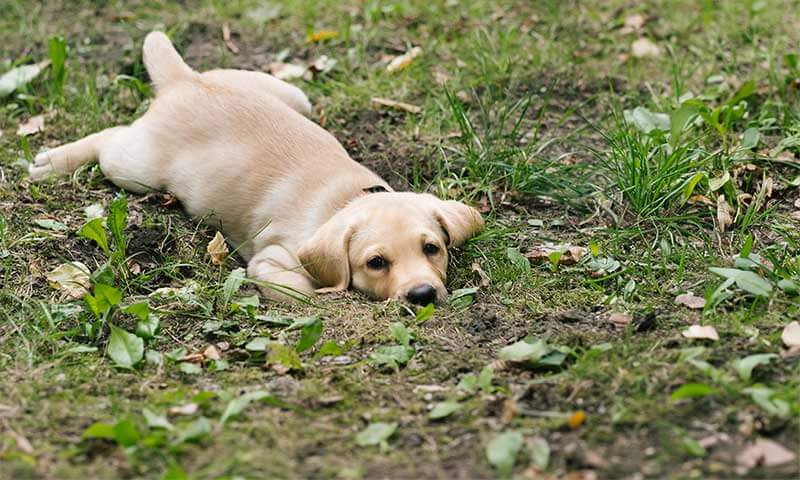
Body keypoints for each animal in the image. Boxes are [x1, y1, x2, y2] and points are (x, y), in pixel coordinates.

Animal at [29, 31, 482, 306]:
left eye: (432, 248)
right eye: (376, 263)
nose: (423, 295)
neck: (347, 201)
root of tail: (184, 81)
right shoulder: (269, 261)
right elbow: (308, 291)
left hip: (294, 96)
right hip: (134, 167)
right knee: (110, 138)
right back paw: (52, 161)